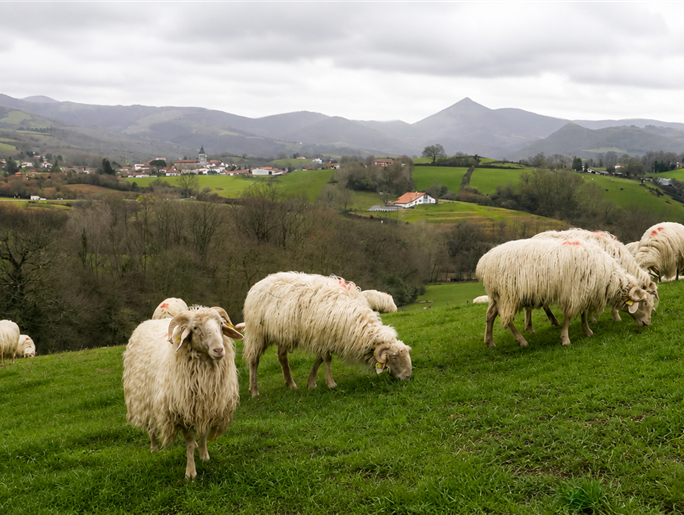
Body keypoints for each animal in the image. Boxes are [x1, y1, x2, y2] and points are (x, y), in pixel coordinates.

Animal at [122, 306, 243, 479]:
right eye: (195, 328)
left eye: (221, 324)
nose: (219, 350)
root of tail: (147, 322)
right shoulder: (182, 411)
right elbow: (190, 442)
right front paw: (190, 473)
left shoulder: (207, 406)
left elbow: (204, 433)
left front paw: (204, 455)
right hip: (143, 399)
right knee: (150, 426)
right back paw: (154, 447)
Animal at [242, 272, 412, 397]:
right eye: (394, 358)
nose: (408, 377)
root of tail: (259, 283)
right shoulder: (324, 335)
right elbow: (327, 359)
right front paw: (331, 383)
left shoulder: (324, 338)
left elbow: (320, 359)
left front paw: (311, 382)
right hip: (256, 333)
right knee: (254, 361)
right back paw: (254, 391)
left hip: (282, 334)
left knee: (282, 358)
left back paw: (291, 384)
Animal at [476, 238, 653, 347]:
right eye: (644, 303)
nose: (647, 324)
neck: (608, 277)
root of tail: (484, 260)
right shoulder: (573, 293)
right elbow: (568, 317)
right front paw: (565, 339)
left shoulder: (583, 292)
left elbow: (583, 315)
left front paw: (588, 332)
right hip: (509, 294)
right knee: (506, 319)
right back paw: (522, 341)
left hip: (498, 295)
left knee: (490, 314)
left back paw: (489, 342)